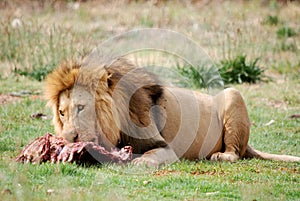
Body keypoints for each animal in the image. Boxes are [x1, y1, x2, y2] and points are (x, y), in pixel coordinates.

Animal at [44, 57, 300, 166]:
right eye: (62, 113)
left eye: (81, 108)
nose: (69, 138)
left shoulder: (165, 148)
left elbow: (148, 157)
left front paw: (138, 162)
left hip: (232, 93)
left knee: (235, 151)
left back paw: (222, 156)